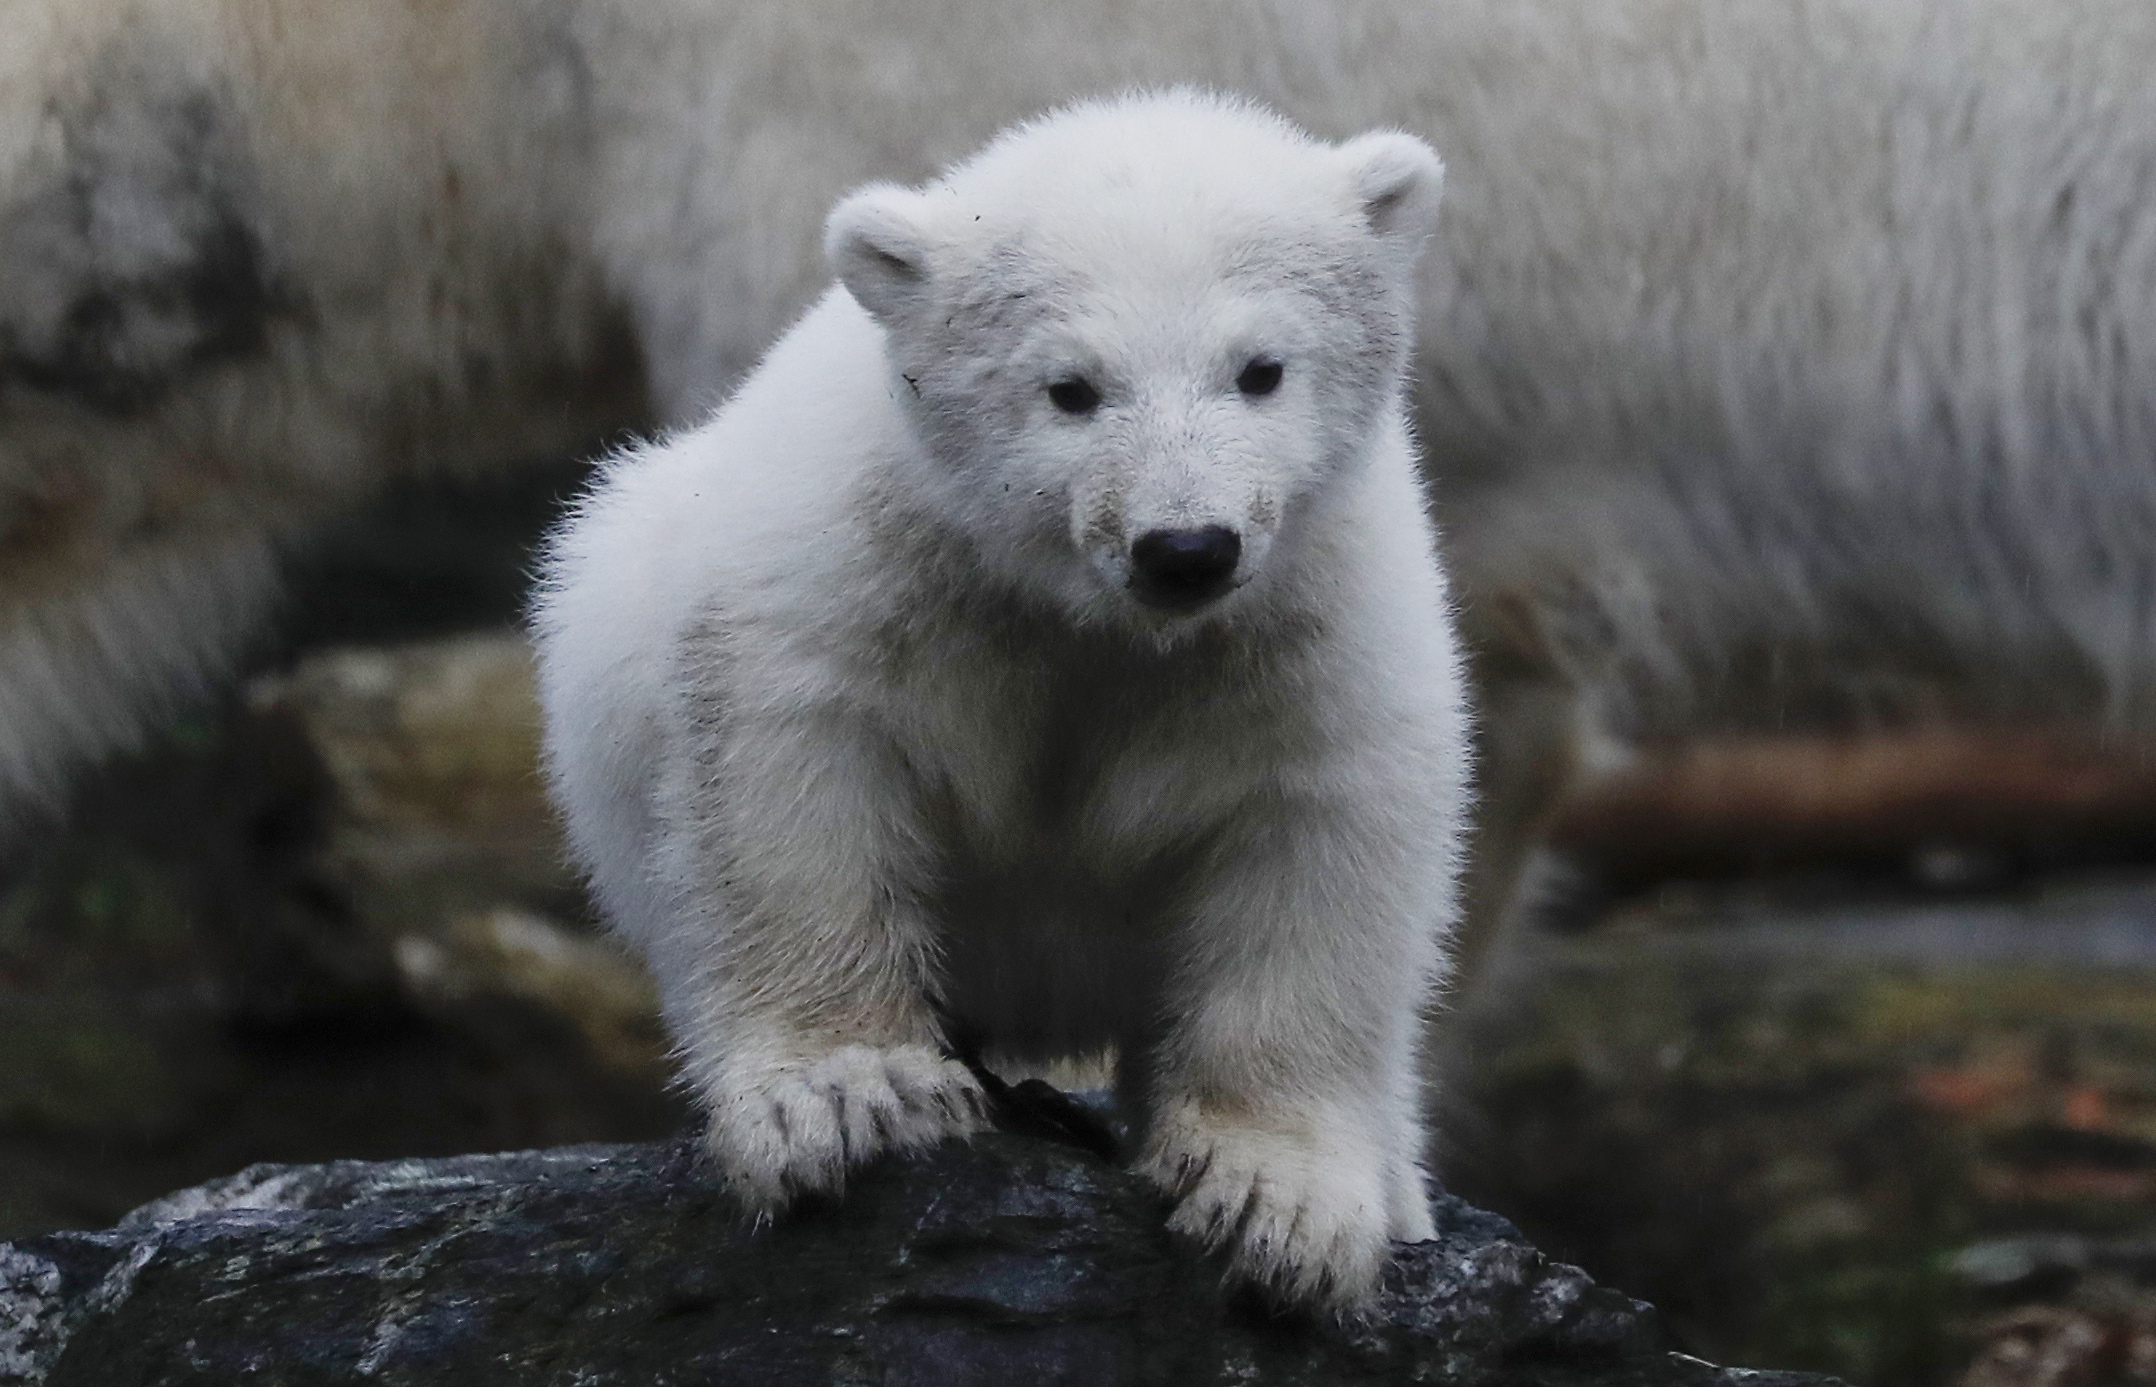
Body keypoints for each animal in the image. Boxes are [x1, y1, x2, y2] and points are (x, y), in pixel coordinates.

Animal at [539, 92, 1466, 1311]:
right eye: (1071, 388)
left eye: (1260, 368)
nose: (1185, 548)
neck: (1092, 618)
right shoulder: (862, 559)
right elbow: (789, 774)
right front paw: (843, 1096)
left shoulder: (1311, 622)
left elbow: (1317, 845)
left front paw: (1278, 1203)